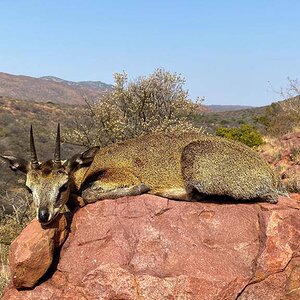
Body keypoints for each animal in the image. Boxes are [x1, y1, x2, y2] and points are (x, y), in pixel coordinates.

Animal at [1, 123, 280, 224]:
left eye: (62, 185)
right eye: (29, 187)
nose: (43, 216)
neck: (87, 168)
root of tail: (270, 175)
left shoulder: (119, 177)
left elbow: (89, 194)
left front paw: (143, 188)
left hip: (196, 163)